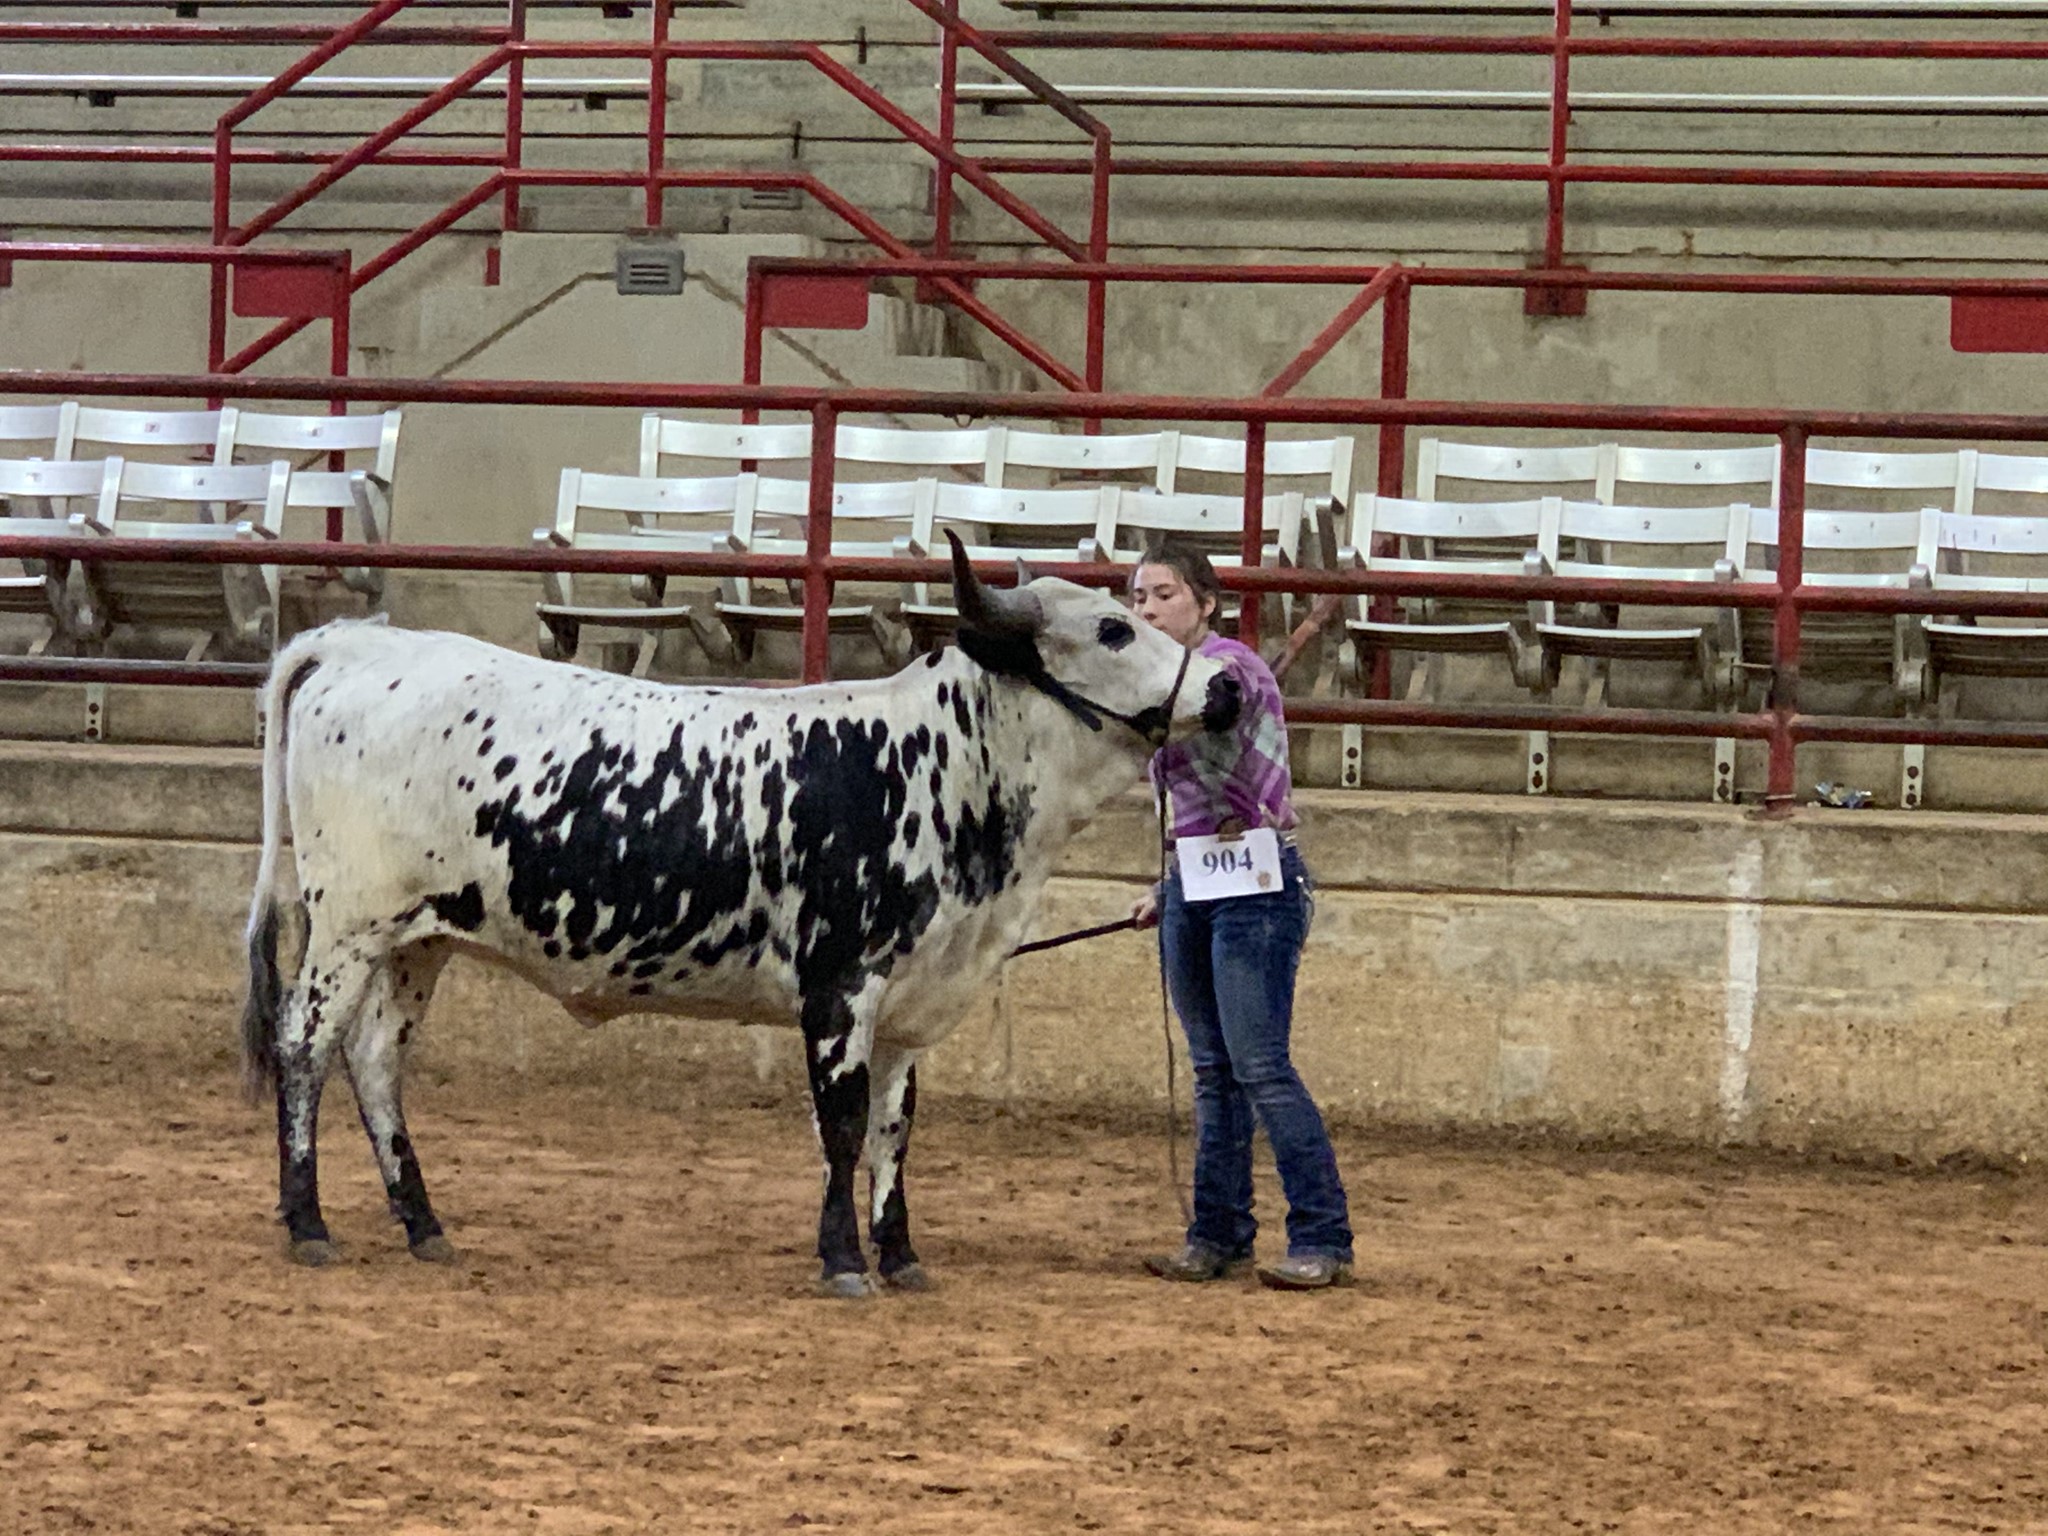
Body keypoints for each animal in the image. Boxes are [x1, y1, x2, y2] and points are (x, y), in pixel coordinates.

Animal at [239, 532, 1240, 1296]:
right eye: (1112, 627)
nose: (1225, 689)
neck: (938, 759)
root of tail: (358, 646)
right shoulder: (840, 986)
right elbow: (842, 1124)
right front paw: (844, 1261)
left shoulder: (912, 1001)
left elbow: (894, 1130)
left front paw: (901, 1256)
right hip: (348, 927)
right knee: (305, 1048)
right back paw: (309, 1223)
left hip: (422, 940)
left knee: (375, 1061)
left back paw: (423, 1224)